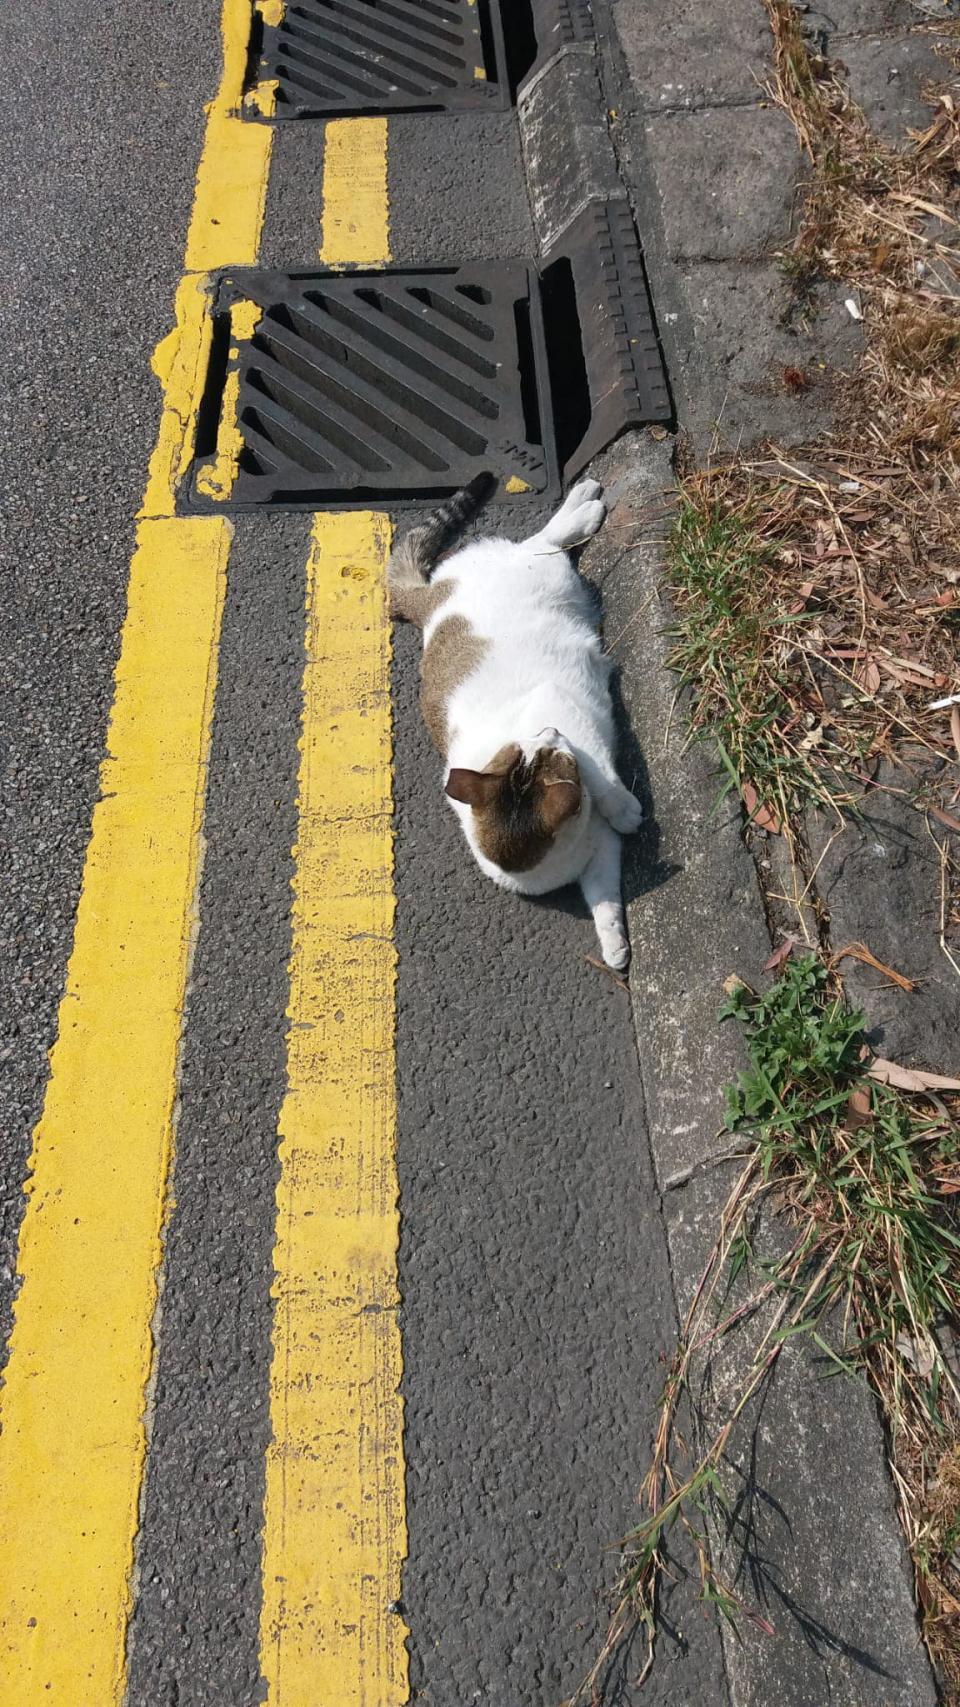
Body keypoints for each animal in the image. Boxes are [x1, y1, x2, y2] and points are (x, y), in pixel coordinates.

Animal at [389, 474, 642, 976]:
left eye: (542, 748)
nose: (548, 732)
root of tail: (428, 600)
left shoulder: (563, 708)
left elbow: (604, 776)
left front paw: (624, 808)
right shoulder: (598, 855)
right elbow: (604, 900)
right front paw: (614, 944)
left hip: (534, 568)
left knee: (543, 540)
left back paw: (581, 507)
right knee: (542, 543)